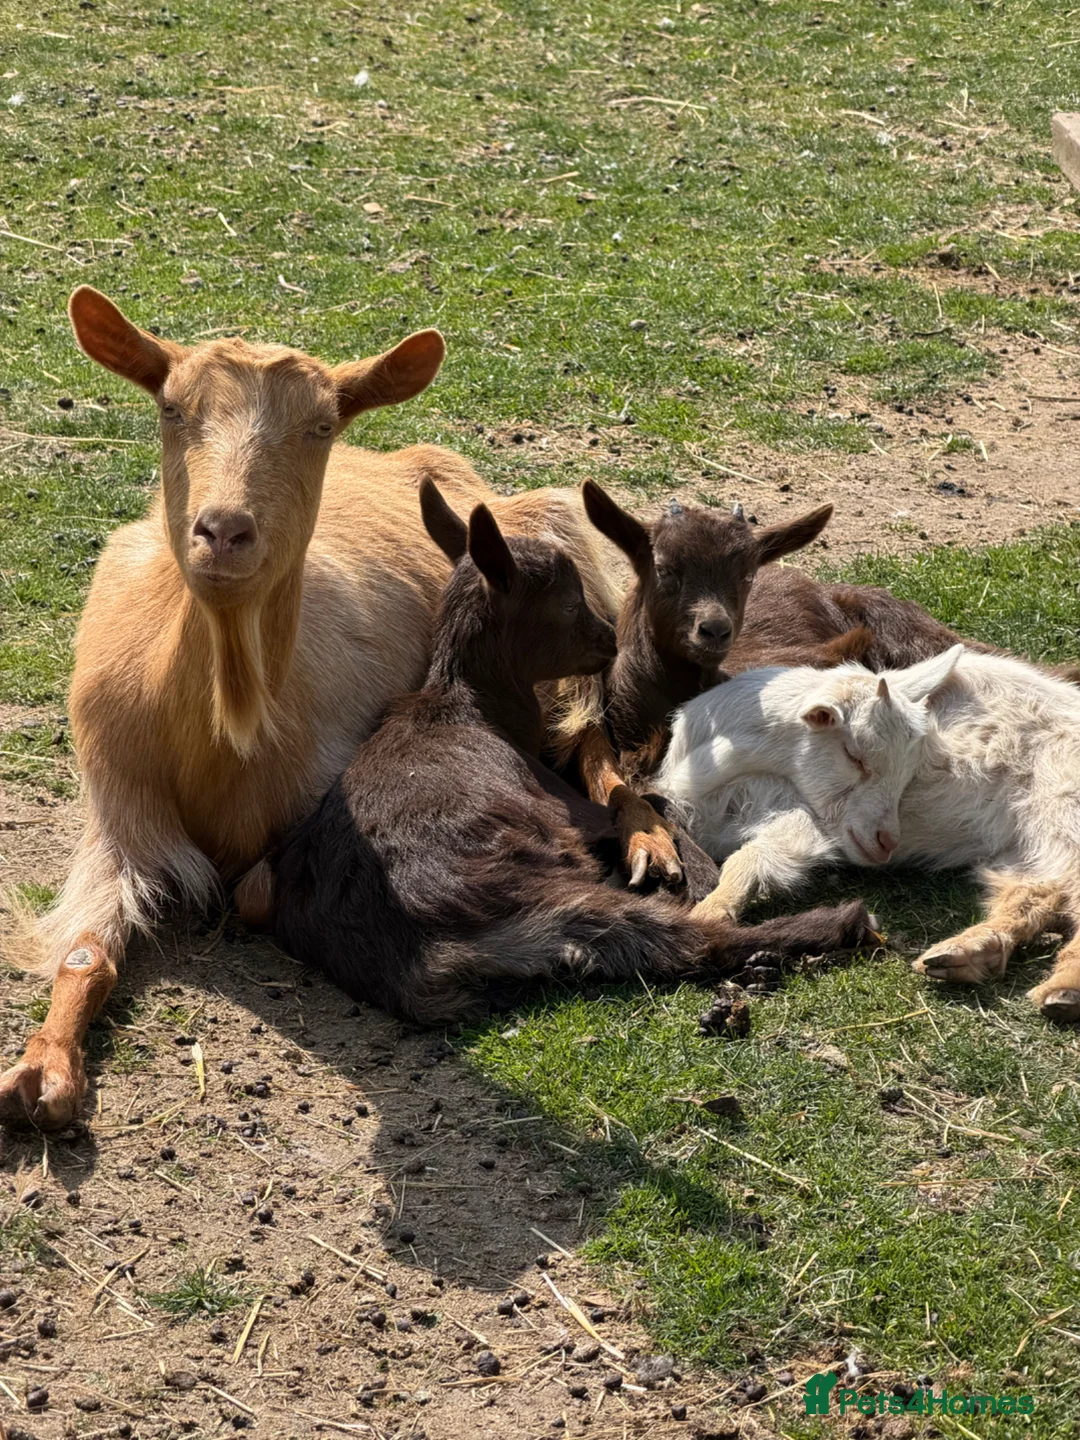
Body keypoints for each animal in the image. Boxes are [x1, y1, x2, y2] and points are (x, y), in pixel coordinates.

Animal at [0, 289, 620, 1129]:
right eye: (171, 408)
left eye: (321, 425)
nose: (224, 531)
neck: (217, 727)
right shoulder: (118, 806)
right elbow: (84, 950)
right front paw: (41, 1077)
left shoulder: (329, 796)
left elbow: (255, 892)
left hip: (566, 585)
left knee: (592, 728)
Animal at [656, 646, 1080, 1022]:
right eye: (855, 756)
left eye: (910, 770)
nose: (887, 841)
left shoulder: (803, 817)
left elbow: (755, 855)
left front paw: (712, 912)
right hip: (1023, 843)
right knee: (1037, 892)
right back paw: (967, 953)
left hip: (1061, 805)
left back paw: (1065, 989)